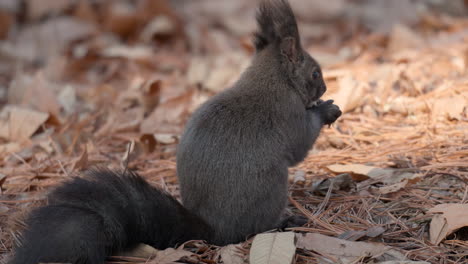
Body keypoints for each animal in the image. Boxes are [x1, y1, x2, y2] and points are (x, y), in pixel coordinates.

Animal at [10, 1, 340, 262]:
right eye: (315, 73)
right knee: (256, 228)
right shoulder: (288, 114)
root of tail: (214, 230)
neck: (274, 78)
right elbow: (300, 143)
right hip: (269, 188)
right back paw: (285, 221)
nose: (324, 87)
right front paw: (327, 110)